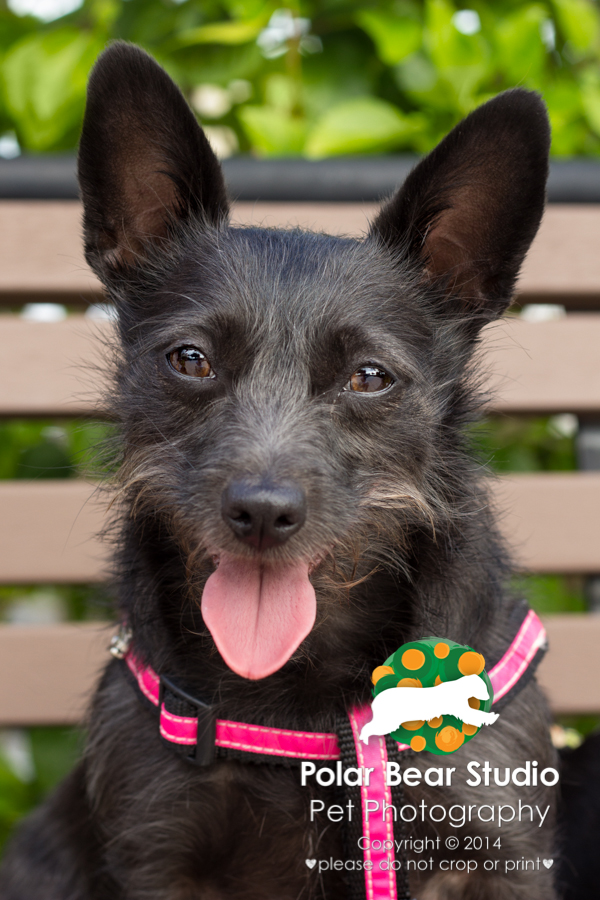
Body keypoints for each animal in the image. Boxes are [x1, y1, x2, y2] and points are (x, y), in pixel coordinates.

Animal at [2, 40, 560, 900]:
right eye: (190, 359)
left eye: (369, 377)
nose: (262, 513)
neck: (303, 701)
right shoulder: (160, 852)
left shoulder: (499, 851)